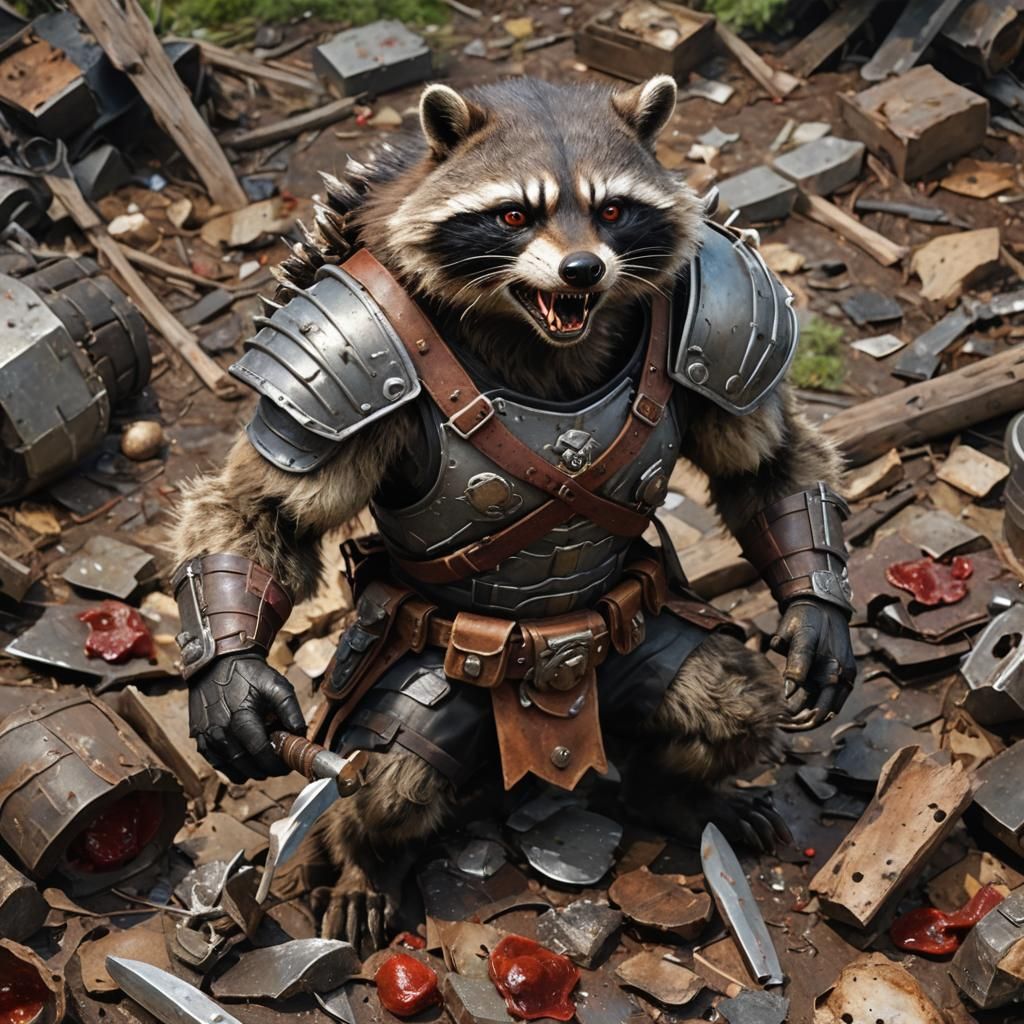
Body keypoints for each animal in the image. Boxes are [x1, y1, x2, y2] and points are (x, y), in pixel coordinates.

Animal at [172, 74, 851, 954]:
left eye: (612, 210)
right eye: (513, 216)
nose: (583, 269)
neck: (538, 335)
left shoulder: (722, 308)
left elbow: (764, 464)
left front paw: (815, 616)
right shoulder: (345, 355)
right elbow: (266, 510)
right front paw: (233, 686)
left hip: (631, 638)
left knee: (727, 700)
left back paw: (675, 795)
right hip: (425, 681)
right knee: (389, 773)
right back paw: (362, 863)